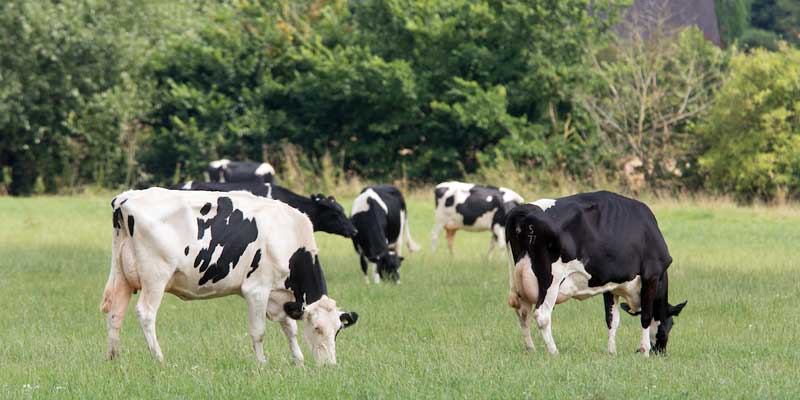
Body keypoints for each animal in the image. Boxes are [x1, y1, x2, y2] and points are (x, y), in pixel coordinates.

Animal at [100, 188, 360, 366]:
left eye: (338, 330)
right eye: (317, 328)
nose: (329, 365)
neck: (287, 235)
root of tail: (127, 197)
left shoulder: (280, 296)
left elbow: (290, 328)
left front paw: (298, 361)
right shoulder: (257, 290)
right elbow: (259, 331)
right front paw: (262, 364)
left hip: (122, 276)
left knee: (115, 312)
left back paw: (114, 358)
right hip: (156, 276)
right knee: (146, 313)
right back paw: (159, 358)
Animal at [506, 192, 688, 358]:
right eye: (670, 324)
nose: (662, 352)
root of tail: (525, 209)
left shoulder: (610, 286)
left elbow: (612, 319)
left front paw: (612, 352)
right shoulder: (651, 274)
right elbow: (646, 316)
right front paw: (644, 351)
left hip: (521, 279)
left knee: (523, 313)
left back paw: (530, 349)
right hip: (550, 280)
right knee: (542, 315)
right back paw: (554, 352)